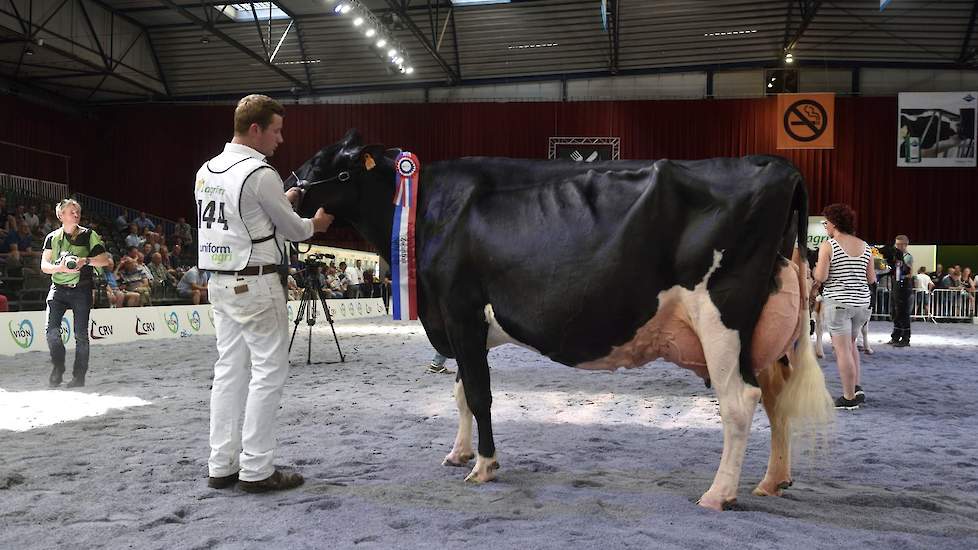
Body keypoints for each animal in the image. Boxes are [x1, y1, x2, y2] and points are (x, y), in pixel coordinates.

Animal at [292, 132, 832, 512]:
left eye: (328, 164)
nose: (290, 188)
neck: (425, 209)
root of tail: (779, 166)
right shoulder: (459, 324)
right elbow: (461, 391)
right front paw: (460, 453)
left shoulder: (460, 309)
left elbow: (480, 395)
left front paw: (484, 465)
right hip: (764, 331)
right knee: (776, 398)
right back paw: (771, 481)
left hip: (722, 319)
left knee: (739, 402)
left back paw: (719, 494)